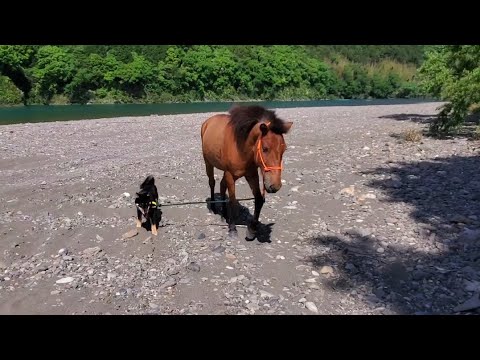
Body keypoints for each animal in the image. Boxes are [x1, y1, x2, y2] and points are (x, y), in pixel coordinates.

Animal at [200, 105, 292, 239]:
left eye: (284, 149)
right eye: (265, 148)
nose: (275, 186)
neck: (241, 148)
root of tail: (208, 122)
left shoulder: (251, 174)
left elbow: (259, 199)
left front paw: (252, 229)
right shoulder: (230, 175)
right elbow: (233, 201)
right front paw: (232, 229)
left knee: (222, 186)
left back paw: (224, 214)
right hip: (208, 163)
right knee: (212, 183)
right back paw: (213, 208)